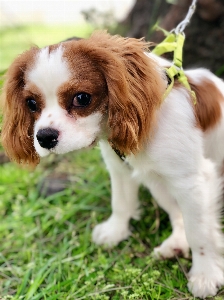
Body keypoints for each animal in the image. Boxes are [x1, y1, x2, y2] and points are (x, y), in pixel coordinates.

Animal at [0, 30, 223, 298]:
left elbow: (200, 232)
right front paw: (115, 231)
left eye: (82, 98)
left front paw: (205, 274)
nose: (44, 137)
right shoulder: (119, 169)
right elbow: (121, 203)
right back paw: (176, 244)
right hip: (158, 185)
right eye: (32, 103)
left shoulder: (193, 182)